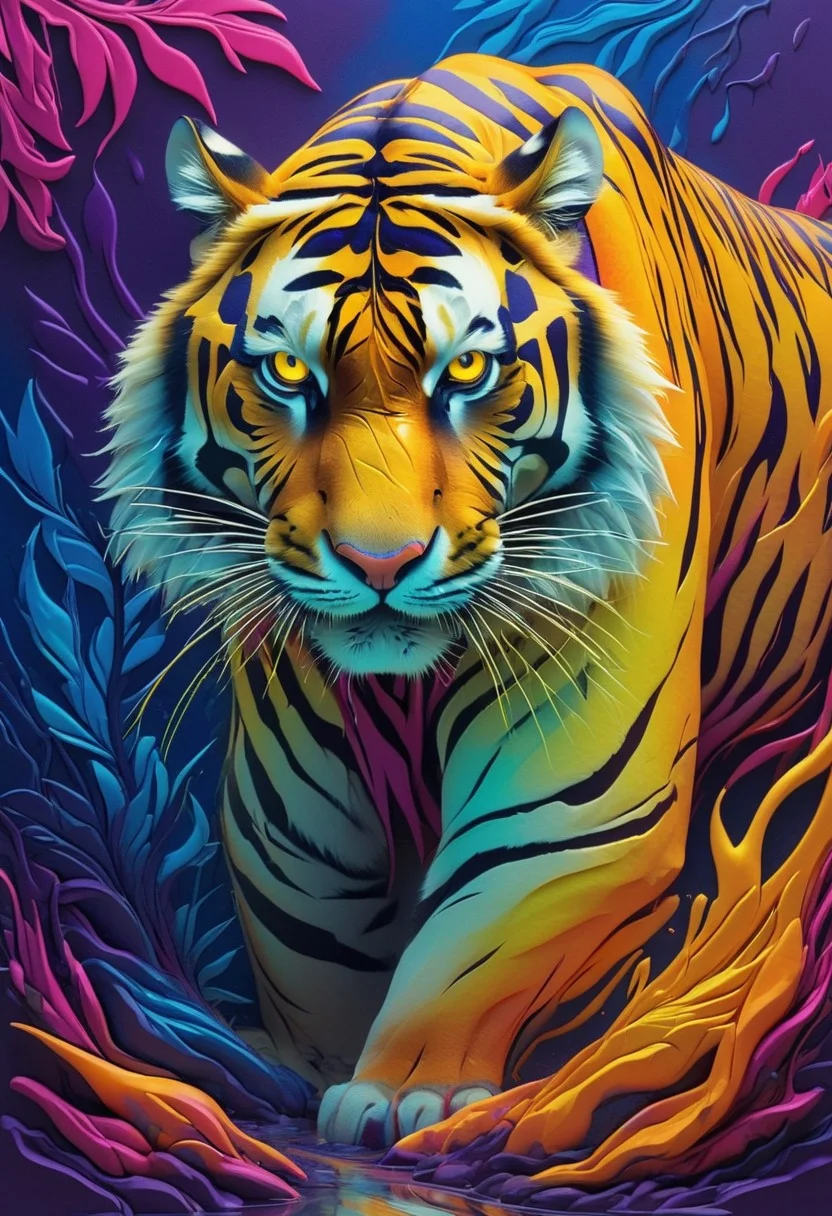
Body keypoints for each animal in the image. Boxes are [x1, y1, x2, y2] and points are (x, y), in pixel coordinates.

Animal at [100, 51, 832, 1181]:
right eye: (288, 372)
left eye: (470, 372)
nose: (379, 561)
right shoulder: (290, 823)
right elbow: (314, 952)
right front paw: (315, 1078)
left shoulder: (576, 794)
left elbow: (471, 941)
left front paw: (407, 1098)